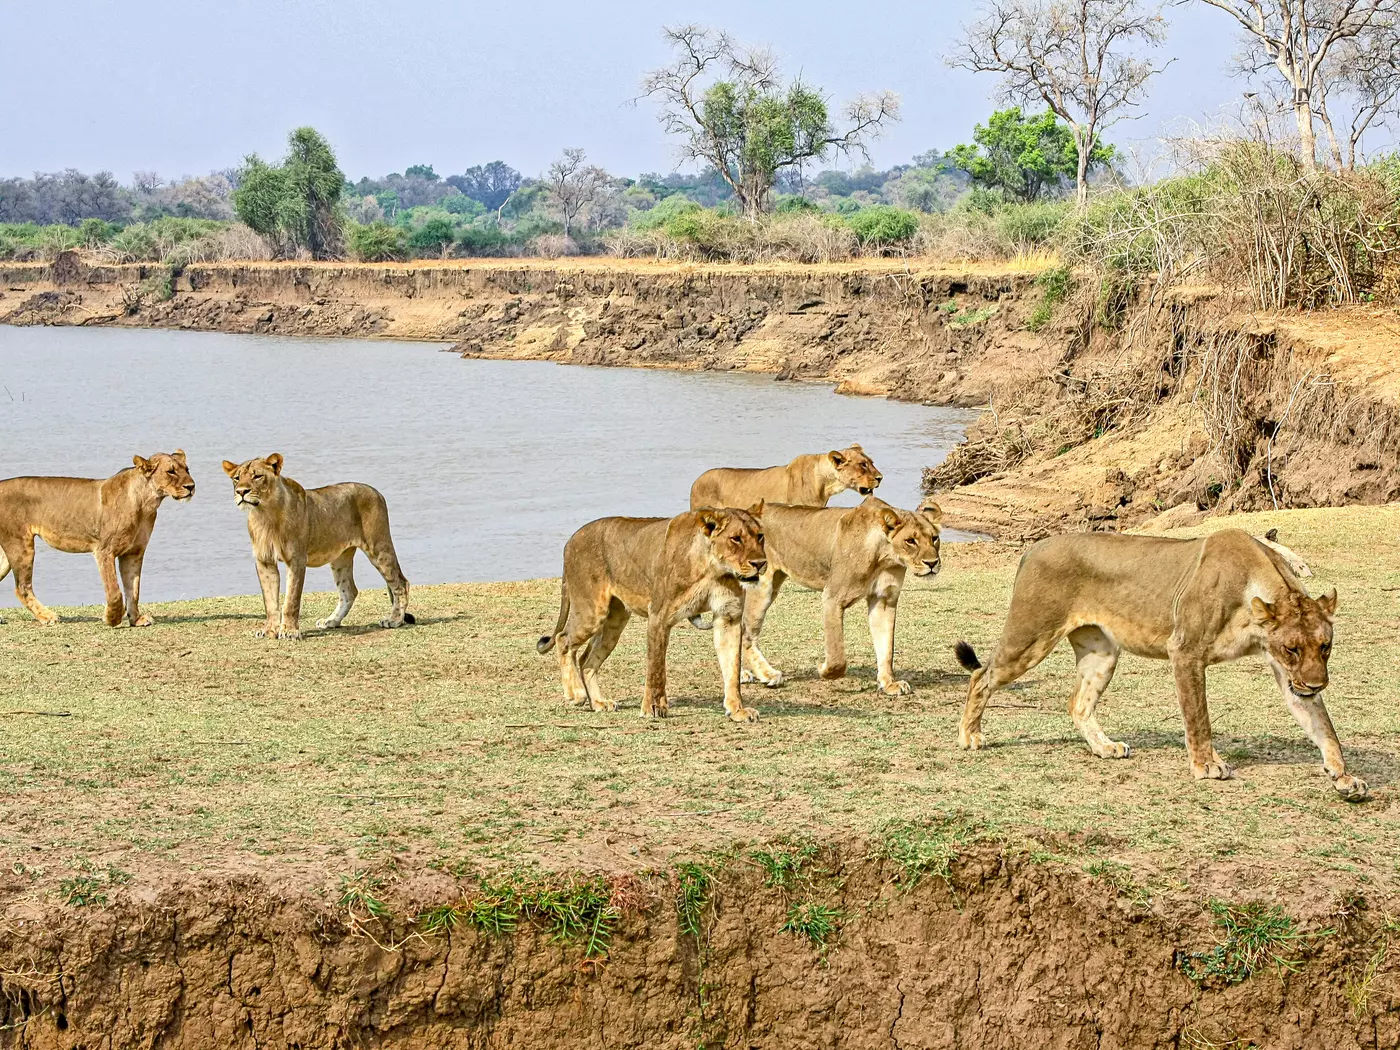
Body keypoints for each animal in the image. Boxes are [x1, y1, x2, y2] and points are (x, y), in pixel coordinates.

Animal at [0, 451, 194, 627]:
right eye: (171, 471)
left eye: (187, 469)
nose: (191, 486)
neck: (146, 502)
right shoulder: (104, 550)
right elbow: (115, 591)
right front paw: (112, 618)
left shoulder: (133, 553)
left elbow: (133, 589)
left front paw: (136, 619)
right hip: (20, 545)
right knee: (22, 588)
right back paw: (48, 616)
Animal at [221, 454, 413, 639]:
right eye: (237, 478)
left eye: (257, 476)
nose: (241, 492)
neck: (265, 514)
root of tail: (376, 491)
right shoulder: (264, 561)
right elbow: (270, 602)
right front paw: (269, 630)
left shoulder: (297, 559)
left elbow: (291, 600)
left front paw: (290, 631)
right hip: (340, 558)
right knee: (349, 591)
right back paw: (331, 621)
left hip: (378, 547)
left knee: (401, 583)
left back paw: (395, 620)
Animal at [538, 505, 767, 721]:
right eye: (736, 538)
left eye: (760, 536)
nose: (760, 563)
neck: (715, 569)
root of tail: (571, 540)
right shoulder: (659, 615)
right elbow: (656, 667)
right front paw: (654, 708)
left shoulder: (729, 616)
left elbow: (732, 668)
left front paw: (737, 710)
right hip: (592, 612)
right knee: (563, 639)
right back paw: (576, 694)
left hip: (615, 620)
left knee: (586, 659)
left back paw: (599, 702)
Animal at [740, 495, 942, 695]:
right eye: (910, 541)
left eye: (934, 538)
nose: (932, 563)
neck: (885, 557)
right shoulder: (832, 597)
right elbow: (837, 654)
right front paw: (824, 670)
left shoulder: (884, 598)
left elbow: (886, 647)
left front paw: (889, 683)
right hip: (762, 586)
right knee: (747, 634)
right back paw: (767, 674)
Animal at [953, 528, 1367, 800]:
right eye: (1292, 648)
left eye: (1325, 647)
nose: (1316, 685)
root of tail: (1035, 546)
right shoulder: (1185, 651)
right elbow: (1198, 718)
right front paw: (1207, 767)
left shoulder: (1288, 676)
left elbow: (1322, 727)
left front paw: (1344, 777)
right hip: (1032, 635)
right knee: (982, 675)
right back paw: (970, 736)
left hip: (1102, 653)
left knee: (1077, 703)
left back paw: (1105, 748)